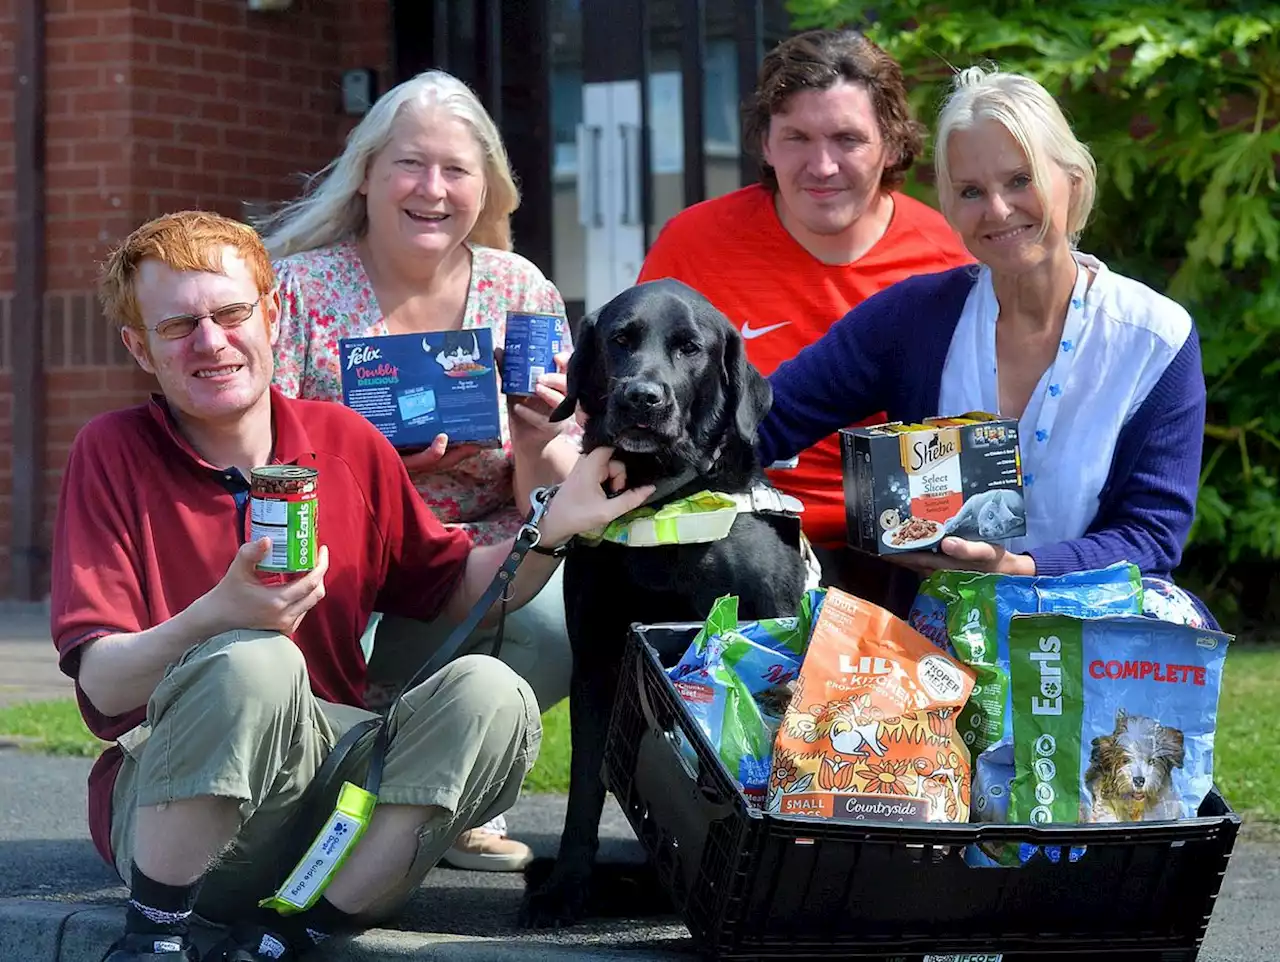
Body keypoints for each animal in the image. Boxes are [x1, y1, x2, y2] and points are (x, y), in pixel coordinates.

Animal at [517, 276, 798, 926]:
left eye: (690, 348)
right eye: (620, 339)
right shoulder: (596, 664)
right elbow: (586, 788)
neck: (660, 505)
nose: (642, 398)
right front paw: (567, 888)